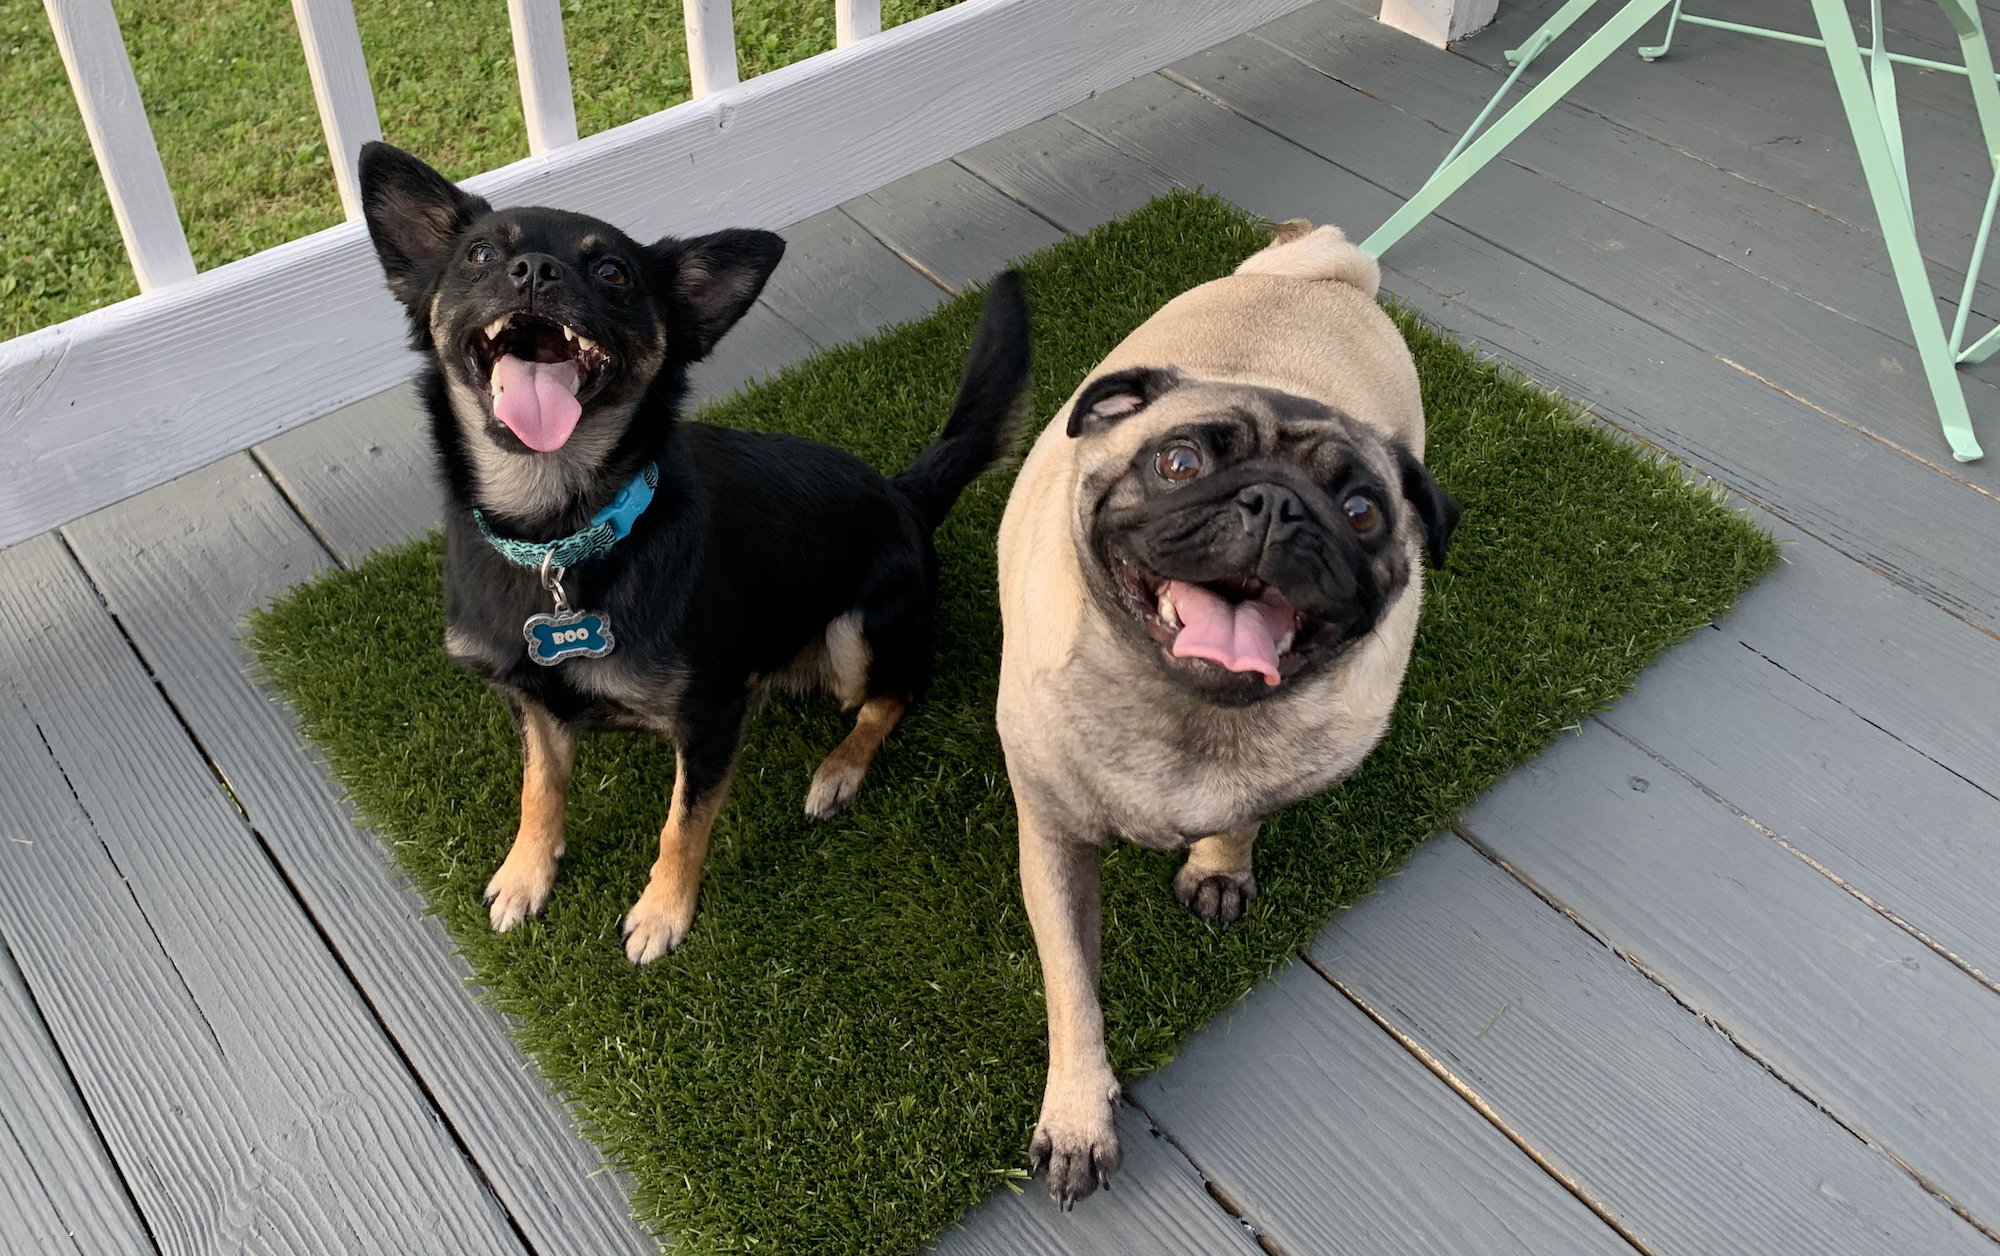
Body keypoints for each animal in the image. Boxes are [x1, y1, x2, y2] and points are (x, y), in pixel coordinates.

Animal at [362, 140, 1040, 960]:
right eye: (481, 254)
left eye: (613, 271)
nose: (534, 271)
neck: (557, 531)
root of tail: (905, 495)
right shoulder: (529, 698)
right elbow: (539, 788)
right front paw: (526, 873)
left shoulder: (711, 716)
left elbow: (682, 824)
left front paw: (662, 913)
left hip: (859, 632)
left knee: (897, 693)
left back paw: (839, 770)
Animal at [996, 221, 1456, 1200]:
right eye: (1180, 463)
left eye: (1362, 510)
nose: (1277, 502)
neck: (1190, 715)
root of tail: (1319, 274)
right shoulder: (1053, 841)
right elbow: (1073, 991)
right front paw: (1079, 1113)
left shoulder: (1277, 777)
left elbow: (1241, 816)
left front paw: (1218, 865)